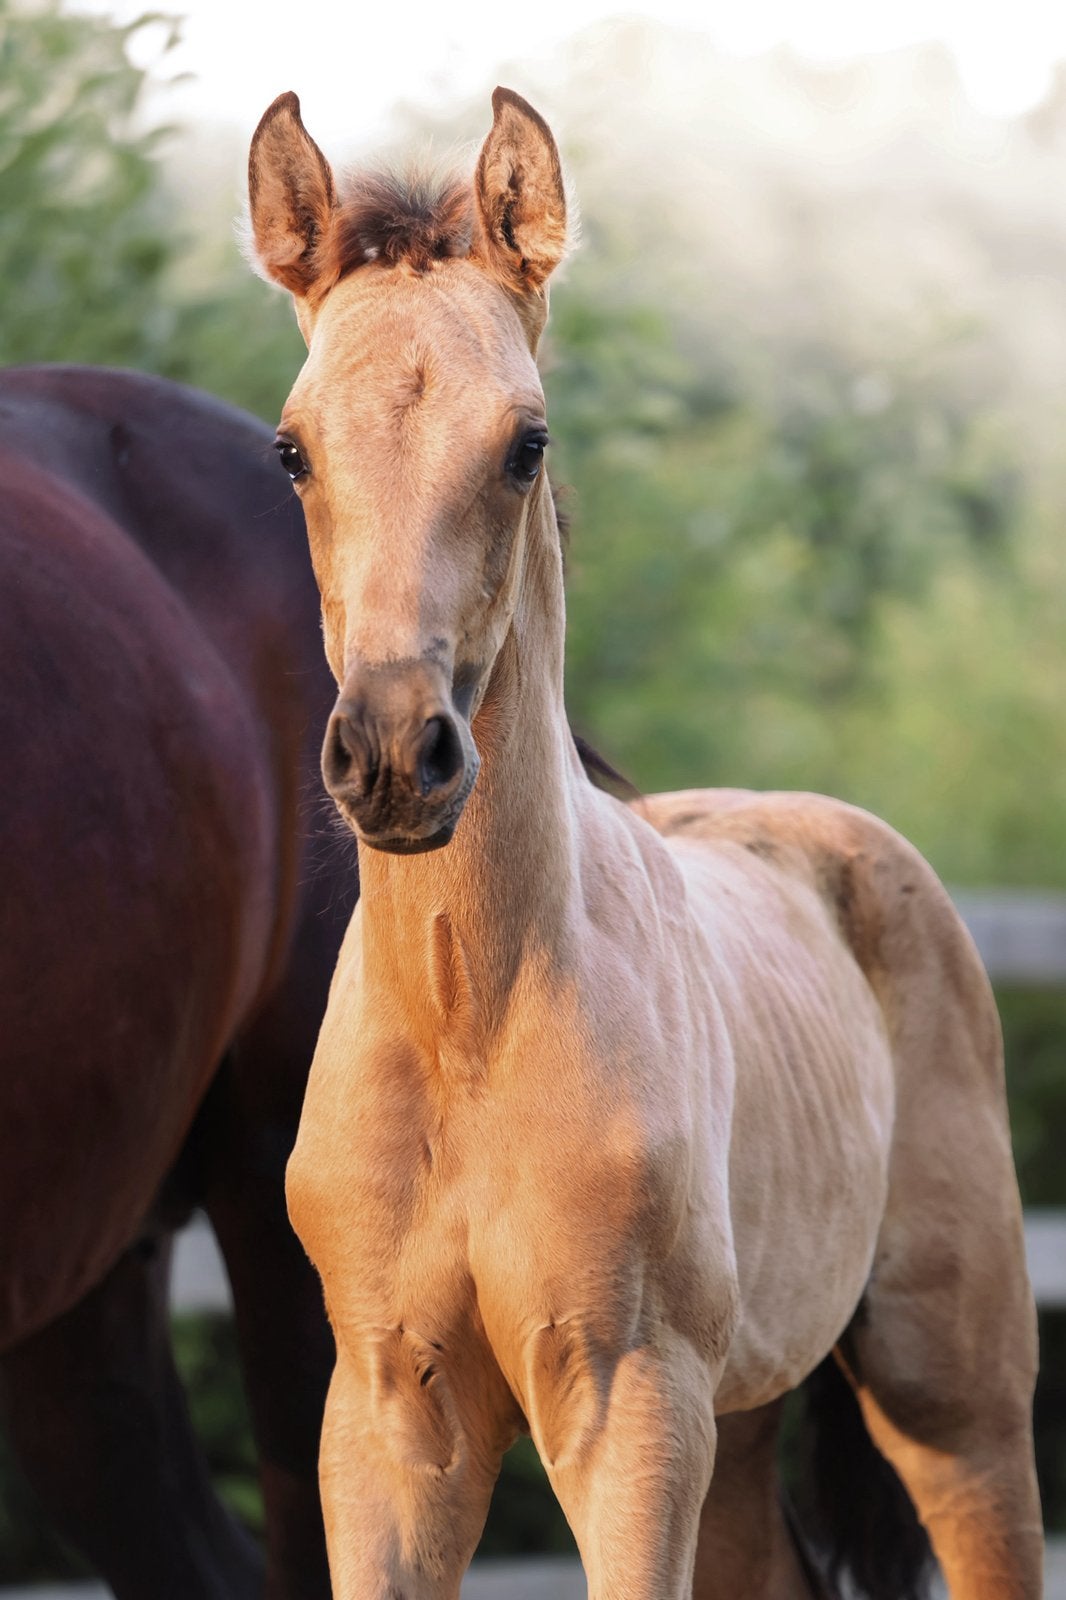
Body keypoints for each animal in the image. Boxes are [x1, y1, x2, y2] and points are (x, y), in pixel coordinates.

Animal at [247, 89, 1043, 1600]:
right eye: (292, 448)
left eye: (527, 444)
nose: (395, 754)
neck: (471, 1023)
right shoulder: (385, 1418)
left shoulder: (627, 1406)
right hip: (746, 1417)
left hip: (951, 1398)